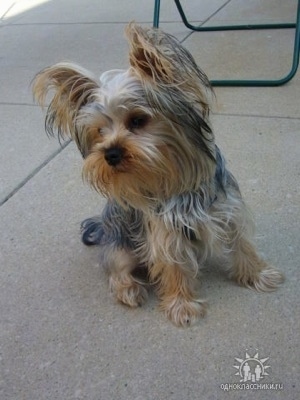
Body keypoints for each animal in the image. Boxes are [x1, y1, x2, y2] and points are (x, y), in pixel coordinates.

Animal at [32, 23, 284, 326]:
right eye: (100, 131)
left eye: (138, 120)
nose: (110, 154)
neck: (177, 179)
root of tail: (103, 227)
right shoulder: (165, 233)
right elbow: (174, 268)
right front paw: (182, 305)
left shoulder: (230, 211)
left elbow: (243, 245)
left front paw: (258, 275)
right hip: (121, 245)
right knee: (115, 270)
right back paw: (128, 289)